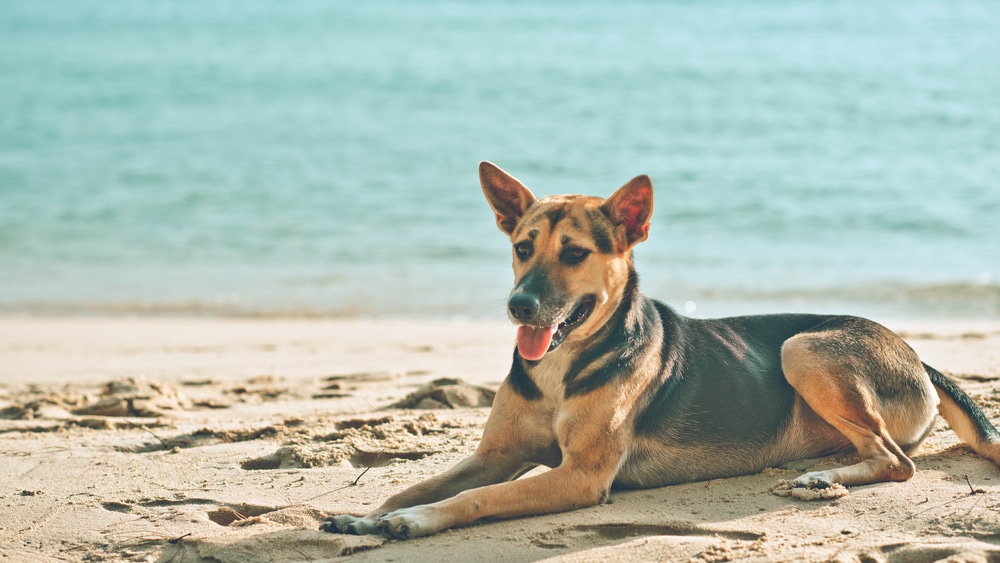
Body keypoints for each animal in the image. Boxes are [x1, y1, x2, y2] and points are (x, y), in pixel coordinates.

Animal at [322, 161, 1000, 540]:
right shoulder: (498, 454)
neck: (563, 366)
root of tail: (916, 354)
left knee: (897, 461)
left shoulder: (580, 476)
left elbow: (472, 497)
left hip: (803, 347)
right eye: (521, 247)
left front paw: (413, 524)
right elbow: (415, 487)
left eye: (574, 253)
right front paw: (369, 516)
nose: (518, 306)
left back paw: (823, 478)